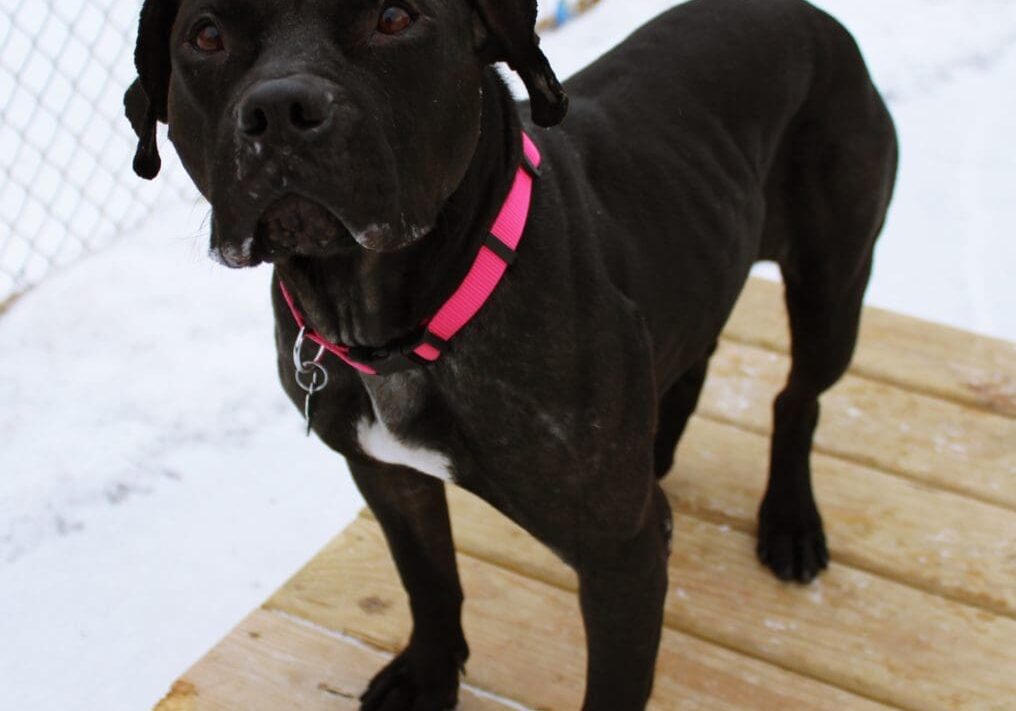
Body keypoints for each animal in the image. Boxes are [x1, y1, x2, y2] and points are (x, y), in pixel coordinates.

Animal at [127, 0, 898, 706]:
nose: (281, 109)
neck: (396, 317)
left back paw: (790, 520)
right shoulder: (387, 475)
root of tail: (814, 17)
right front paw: (428, 676)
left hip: (832, 291)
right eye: (206, 35)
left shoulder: (620, 556)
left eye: (395, 18)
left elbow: (612, 686)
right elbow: (429, 580)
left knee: (797, 397)